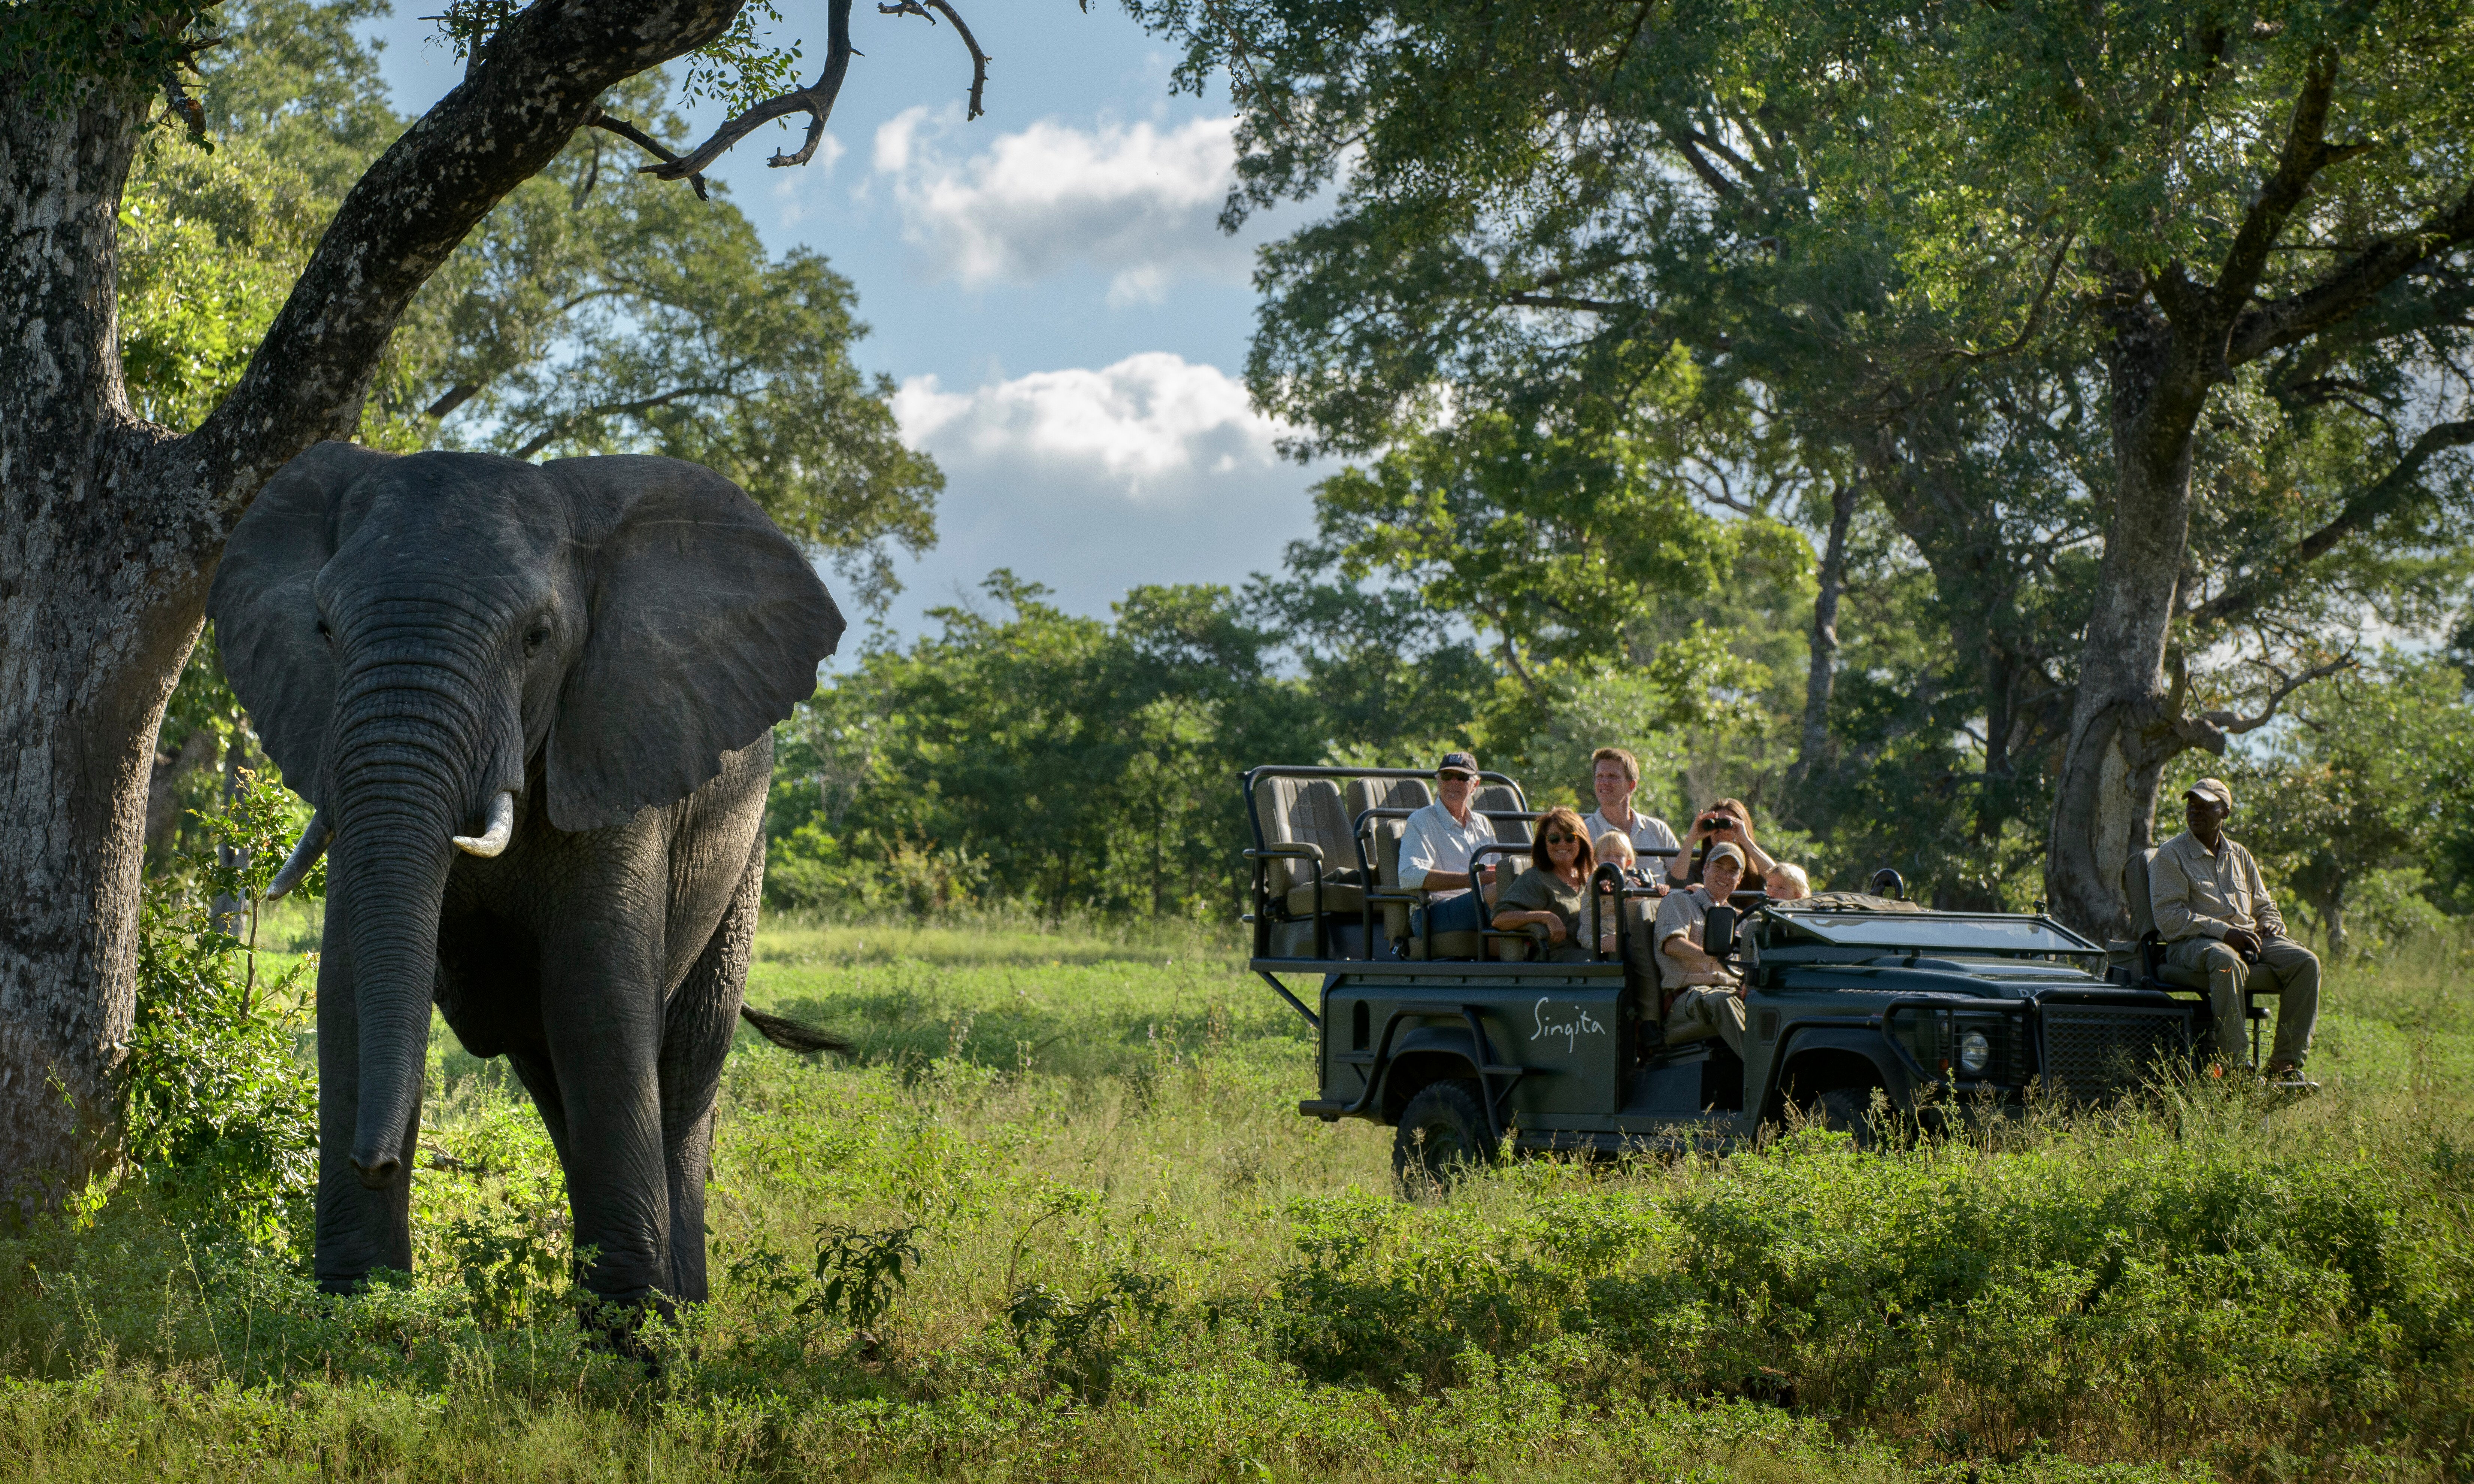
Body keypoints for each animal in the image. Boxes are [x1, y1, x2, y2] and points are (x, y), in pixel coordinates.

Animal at [213, 440, 851, 1306]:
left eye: (537, 637)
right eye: (323, 629)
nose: (376, 1160)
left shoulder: (618, 741)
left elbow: (596, 995)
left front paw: (631, 1325)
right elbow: (345, 984)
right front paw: (357, 1305)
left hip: (743, 848)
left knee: (684, 1070)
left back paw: (682, 1305)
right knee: (553, 1075)